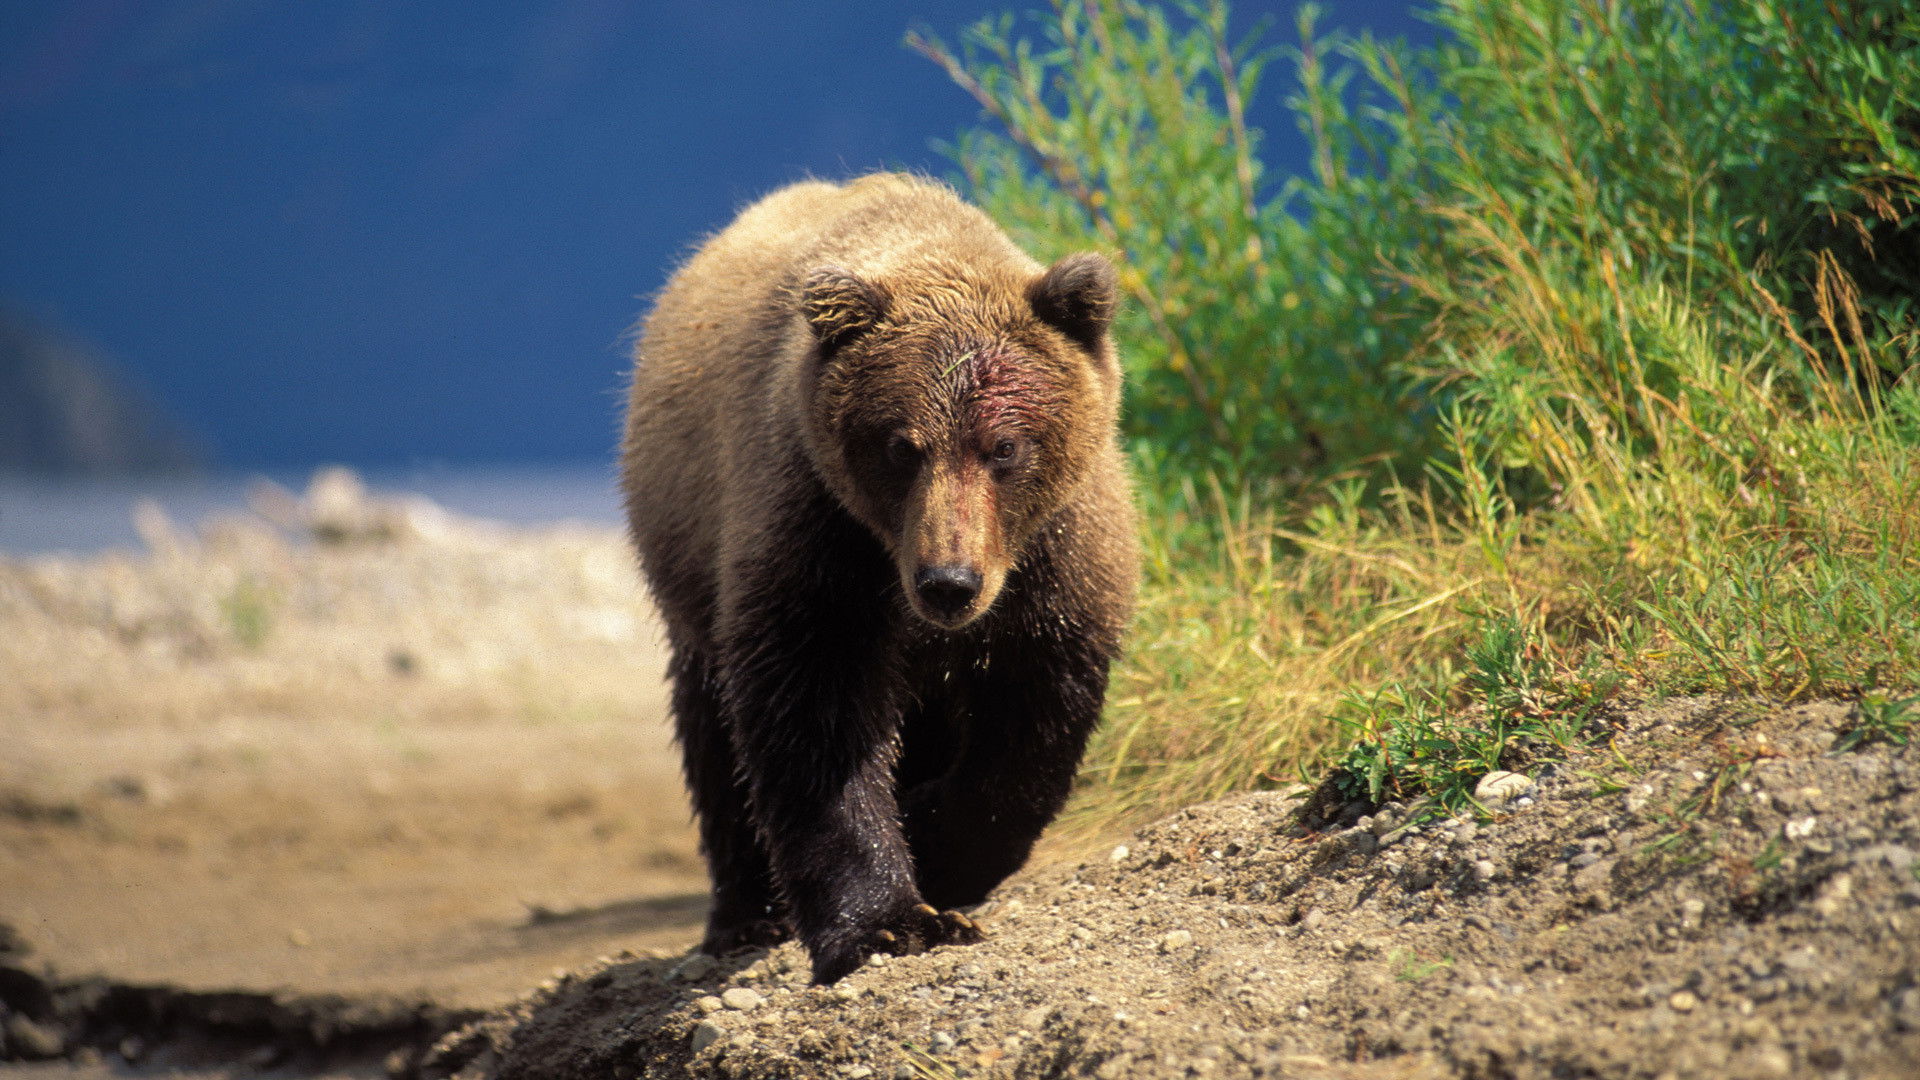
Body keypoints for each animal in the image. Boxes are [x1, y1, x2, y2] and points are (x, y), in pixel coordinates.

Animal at [620, 173, 1139, 984]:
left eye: (1004, 446)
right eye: (900, 446)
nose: (948, 582)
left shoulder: (1058, 564)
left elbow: (1031, 730)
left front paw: (938, 840)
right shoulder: (817, 533)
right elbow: (816, 724)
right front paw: (889, 922)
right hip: (690, 558)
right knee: (710, 729)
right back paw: (744, 913)